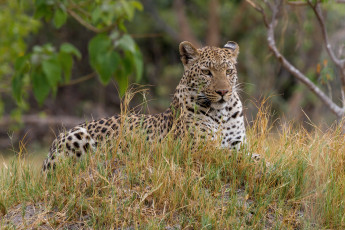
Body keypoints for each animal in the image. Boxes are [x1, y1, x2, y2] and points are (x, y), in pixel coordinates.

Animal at [43, 41, 254, 171]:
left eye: (228, 71)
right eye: (206, 72)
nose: (223, 91)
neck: (222, 114)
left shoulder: (238, 143)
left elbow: (245, 155)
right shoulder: (199, 148)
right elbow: (242, 158)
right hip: (77, 136)